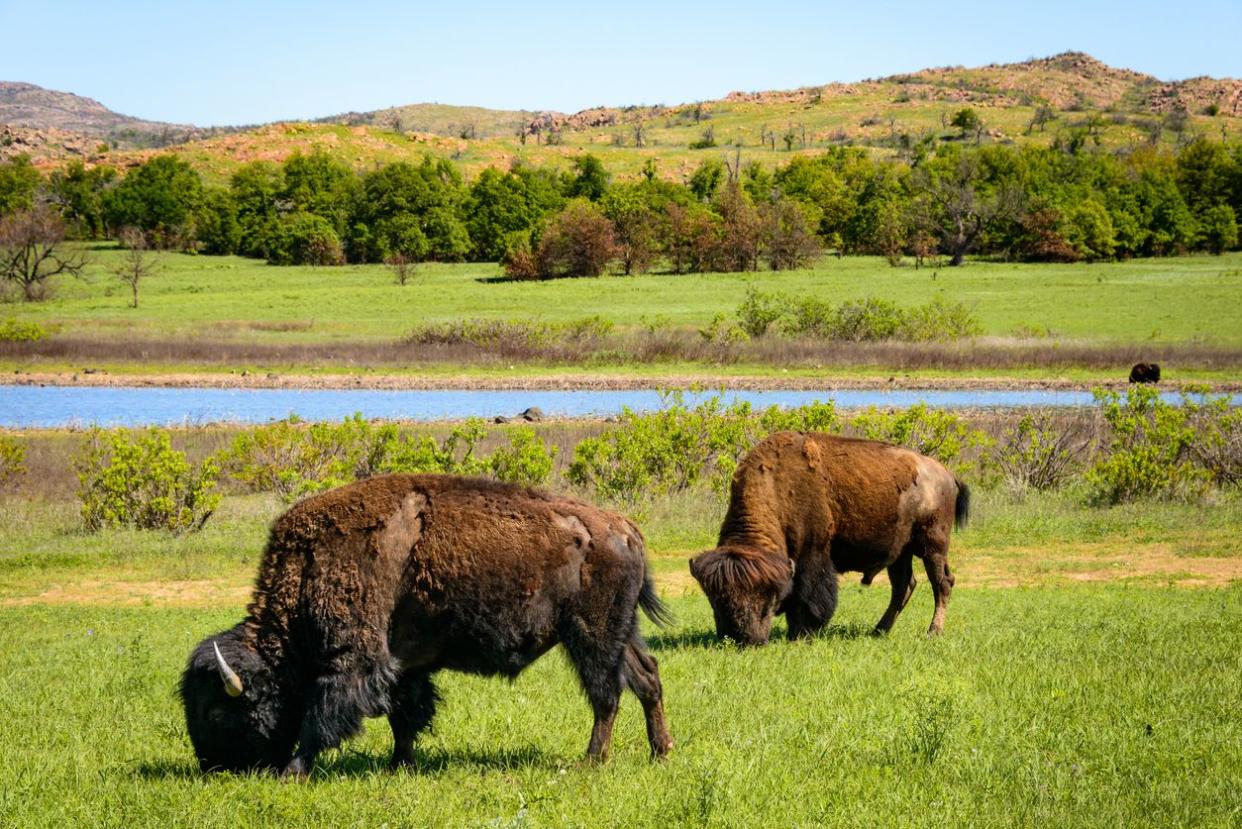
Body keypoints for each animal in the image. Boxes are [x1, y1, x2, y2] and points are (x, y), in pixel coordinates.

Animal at [177, 472, 670, 780]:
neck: (310, 567)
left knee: (606, 694)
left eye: (215, 711)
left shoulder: (354, 663)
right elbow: (404, 716)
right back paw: (660, 751)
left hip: (591, 635)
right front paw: (401, 765)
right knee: (647, 677)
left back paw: (592, 760)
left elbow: (324, 715)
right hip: (620, 632)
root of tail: (625, 528)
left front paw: (294, 771)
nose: (211, 768)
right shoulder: (404, 665)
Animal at [690, 435, 968, 646]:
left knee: (942, 584)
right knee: (904, 586)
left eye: (767, 596)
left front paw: (802, 634)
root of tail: (947, 474)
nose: (740, 638)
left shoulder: (813, 554)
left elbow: (810, 596)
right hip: (901, 553)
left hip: (933, 546)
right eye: (714, 599)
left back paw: (933, 632)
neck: (778, 486)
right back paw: (878, 631)